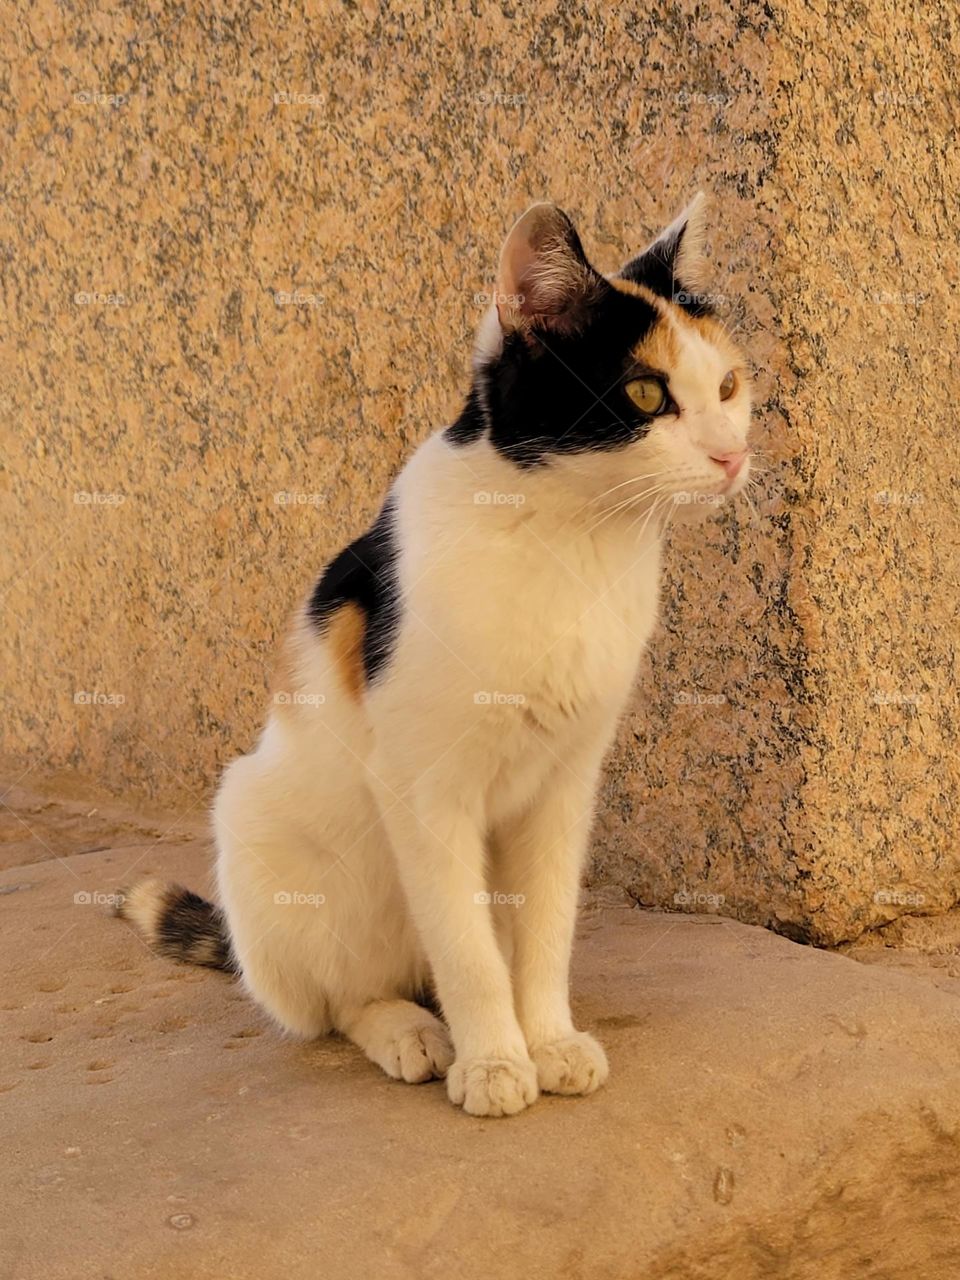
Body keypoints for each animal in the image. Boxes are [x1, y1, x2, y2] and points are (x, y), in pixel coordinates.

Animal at [118, 192, 752, 1121]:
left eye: (730, 386)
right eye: (644, 392)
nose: (732, 455)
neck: (573, 539)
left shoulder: (566, 785)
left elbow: (543, 935)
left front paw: (548, 1041)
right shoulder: (425, 791)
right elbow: (469, 954)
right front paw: (494, 1063)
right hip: (264, 833)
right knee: (345, 998)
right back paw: (412, 1033)